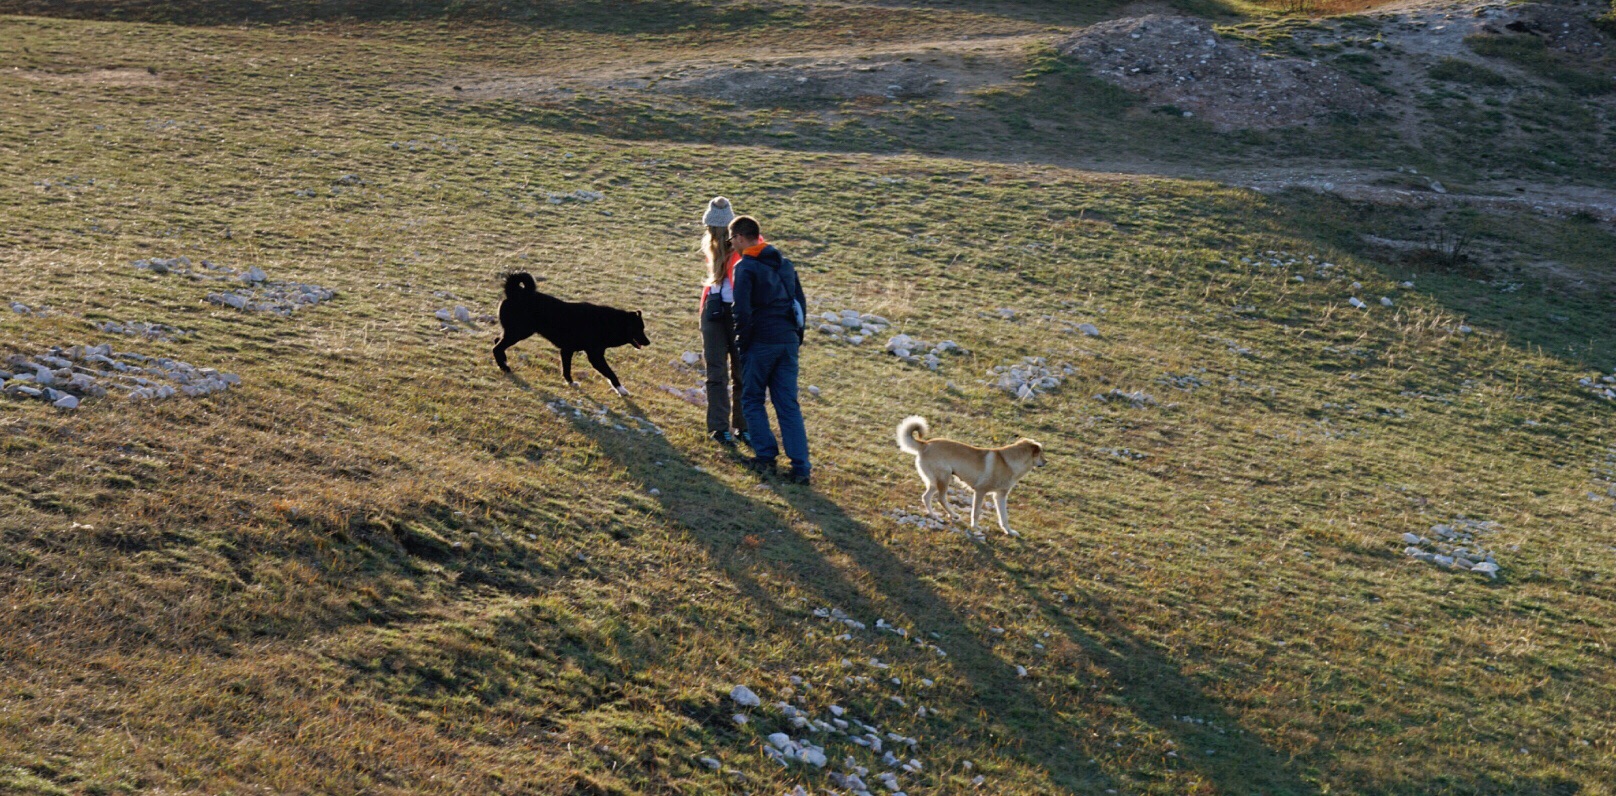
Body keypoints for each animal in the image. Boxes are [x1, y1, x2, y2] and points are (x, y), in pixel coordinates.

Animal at [491, 272, 649, 393]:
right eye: (639, 329)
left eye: (643, 328)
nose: (648, 342)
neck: (607, 323)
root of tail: (514, 292)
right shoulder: (594, 357)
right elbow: (610, 373)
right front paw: (621, 390)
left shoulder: (567, 350)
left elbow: (567, 369)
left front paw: (570, 383)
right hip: (518, 332)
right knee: (496, 347)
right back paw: (504, 367)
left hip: (517, 332)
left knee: (497, 341)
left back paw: (503, 362)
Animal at [898, 416, 1047, 532]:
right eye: (1041, 454)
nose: (1046, 462)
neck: (1009, 462)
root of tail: (925, 444)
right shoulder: (980, 491)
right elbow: (976, 512)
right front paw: (975, 527)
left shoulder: (1000, 496)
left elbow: (1004, 516)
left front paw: (1009, 531)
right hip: (944, 479)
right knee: (940, 499)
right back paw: (953, 515)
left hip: (934, 482)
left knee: (926, 497)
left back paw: (934, 515)